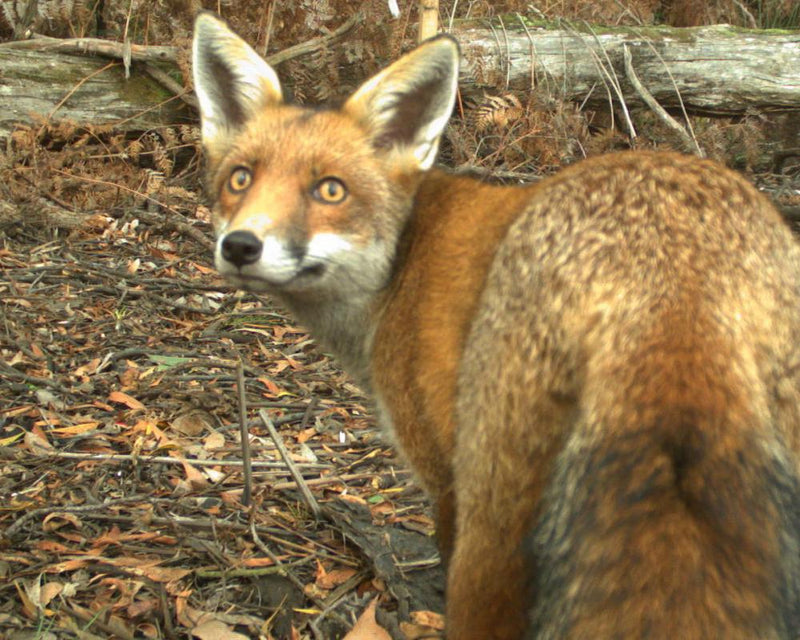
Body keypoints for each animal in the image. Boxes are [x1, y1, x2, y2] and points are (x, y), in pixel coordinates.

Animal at [192, 12, 800, 639]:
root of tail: (671, 273)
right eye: (240, 179)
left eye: (329, 189)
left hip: (494, 518)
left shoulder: (445, 480)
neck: (399, 267)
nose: (241, 246)